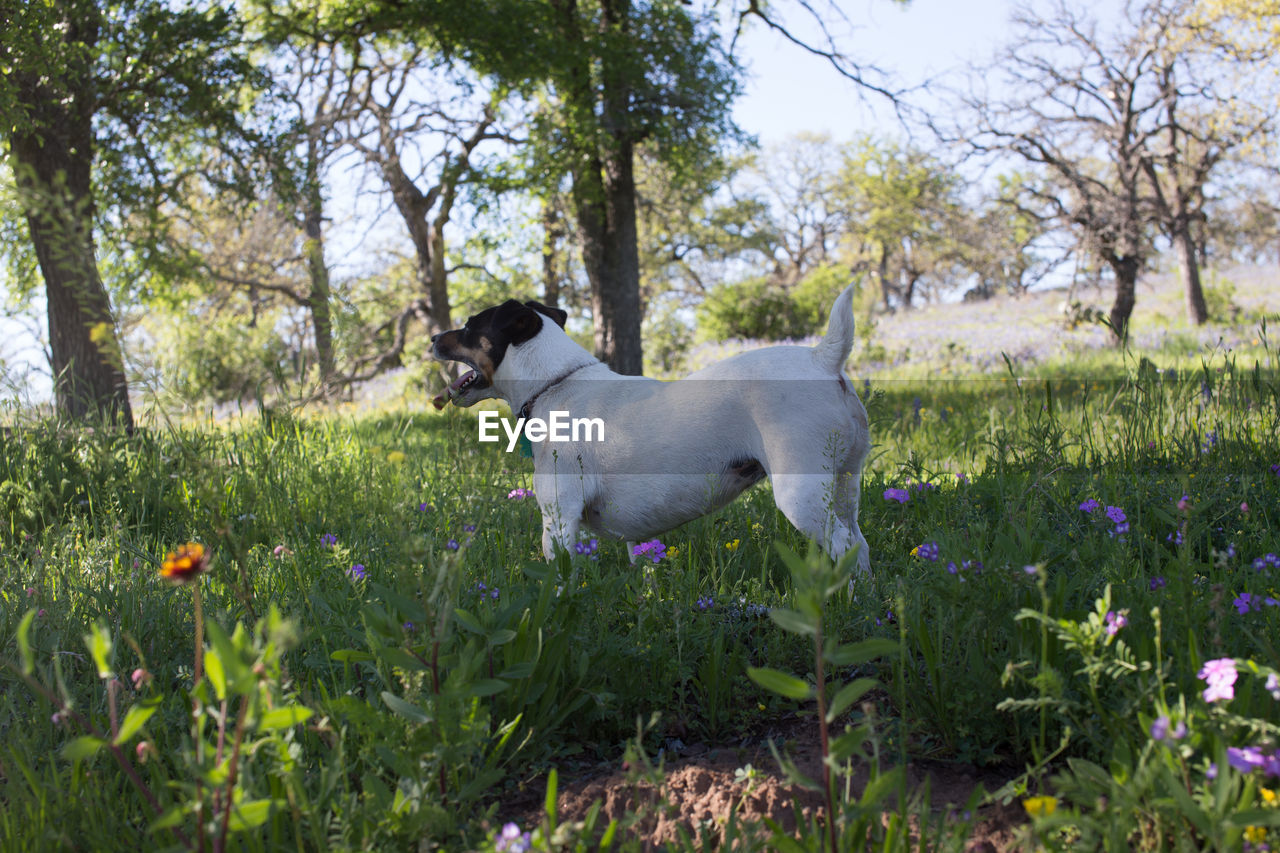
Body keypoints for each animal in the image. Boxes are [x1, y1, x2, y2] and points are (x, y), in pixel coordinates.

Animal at [430, 285, 870, 571]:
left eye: (469, 326)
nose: (432, 336)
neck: (554, 382)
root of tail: (823, 360)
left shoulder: (559, 515)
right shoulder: (636, 534)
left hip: (801, 493)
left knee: (843, 545)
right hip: (846, 484)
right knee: (859, 544)